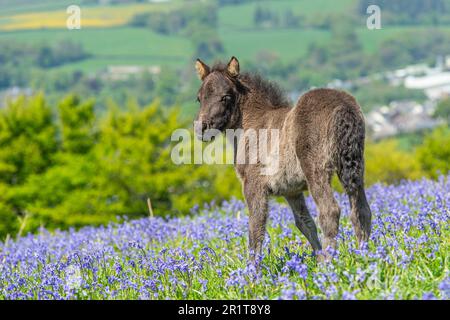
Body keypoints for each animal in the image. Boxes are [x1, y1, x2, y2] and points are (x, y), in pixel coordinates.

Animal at [194, 56, 372, 262]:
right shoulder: (291, 191)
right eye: (199, 98)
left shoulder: (254, 185)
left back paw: (329, 264)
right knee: (361, 211)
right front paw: (314, 259)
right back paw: (365, 255)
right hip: (354, 165)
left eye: (226, 97)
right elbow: (305, 223)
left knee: (330, 211)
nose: (201, 129)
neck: (252, 122)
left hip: (316, 170)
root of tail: (343, 107)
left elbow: (255, 228)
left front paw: (252, 270)